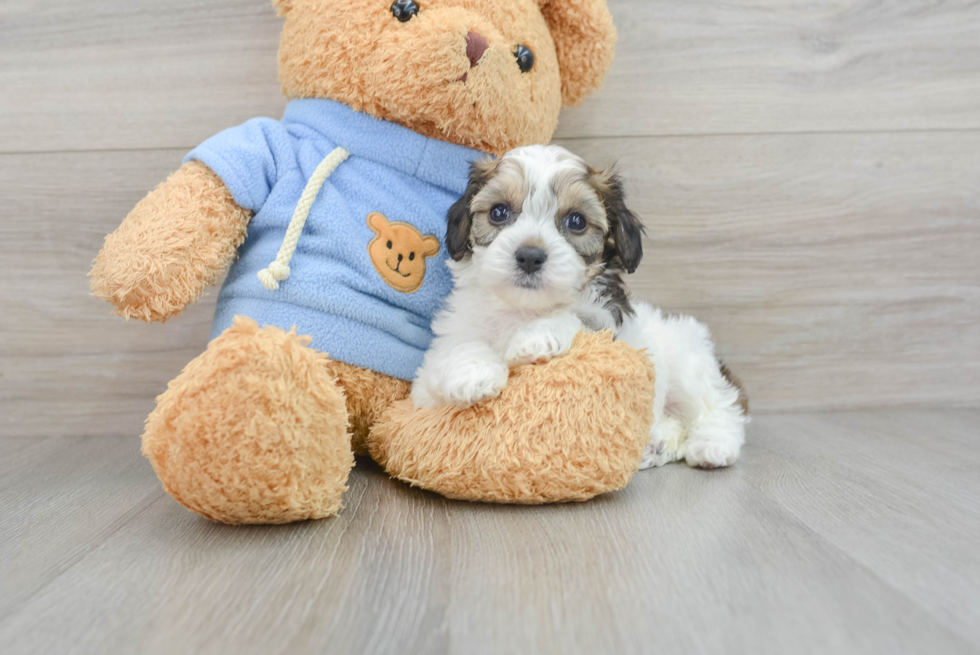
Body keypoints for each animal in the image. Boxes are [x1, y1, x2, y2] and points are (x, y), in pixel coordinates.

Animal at [410, 146, 748, 468]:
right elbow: (460, 347)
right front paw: (473, 373)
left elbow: (576, 318)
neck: (524, 309)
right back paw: (657, 444)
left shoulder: (613, 332)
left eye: (576, 221)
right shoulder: (427, 385)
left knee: (719, 403)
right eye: (498, 212)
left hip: (688, 360)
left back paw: (713, 445)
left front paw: (536, 336)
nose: (530, 255)